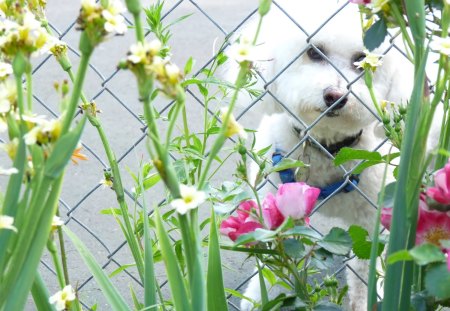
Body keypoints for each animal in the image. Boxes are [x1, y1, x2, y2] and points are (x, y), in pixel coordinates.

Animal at [230, 1, 416, 310]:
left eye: (361, 60)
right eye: (314, 52)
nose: (336, 96)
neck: (325, 148)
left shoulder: (371, 220)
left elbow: (364, 272)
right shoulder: (275, 205)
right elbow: (274, 259)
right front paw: (261, 298)